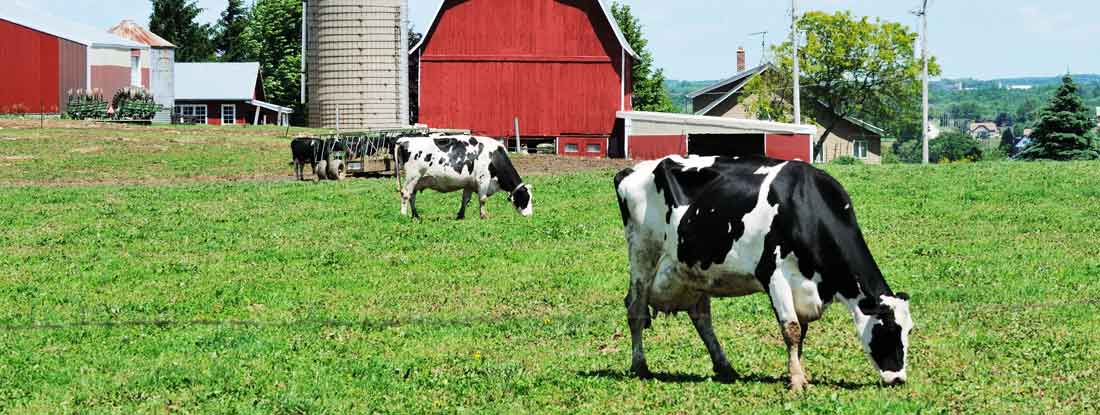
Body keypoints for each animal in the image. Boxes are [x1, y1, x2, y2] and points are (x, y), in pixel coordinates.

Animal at [396, 135, 533, 220]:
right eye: (526, 198)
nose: (530, 215)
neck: (494, 158)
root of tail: (405, 140)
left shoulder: (469, 184)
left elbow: (465, 200)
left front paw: (460, 216)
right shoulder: (483, 179)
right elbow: (483, 199)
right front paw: (484, 216)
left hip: (417, 180)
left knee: (412, 196)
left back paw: (416, 215)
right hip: (412, 177)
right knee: (406, 194)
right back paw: (403, 215)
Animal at [614, 155, 913, 392]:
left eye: (909, 330)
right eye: (888, 329)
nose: (899, 379)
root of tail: (632, 170)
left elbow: (801, 333)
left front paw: (797, 373)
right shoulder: (774, 274)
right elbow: (791, 329)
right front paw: (797, 382)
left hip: (694, 270)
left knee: (702, 318)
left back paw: (725, 367)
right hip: (642, 254)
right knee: (635, 310)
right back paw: (640, 366)